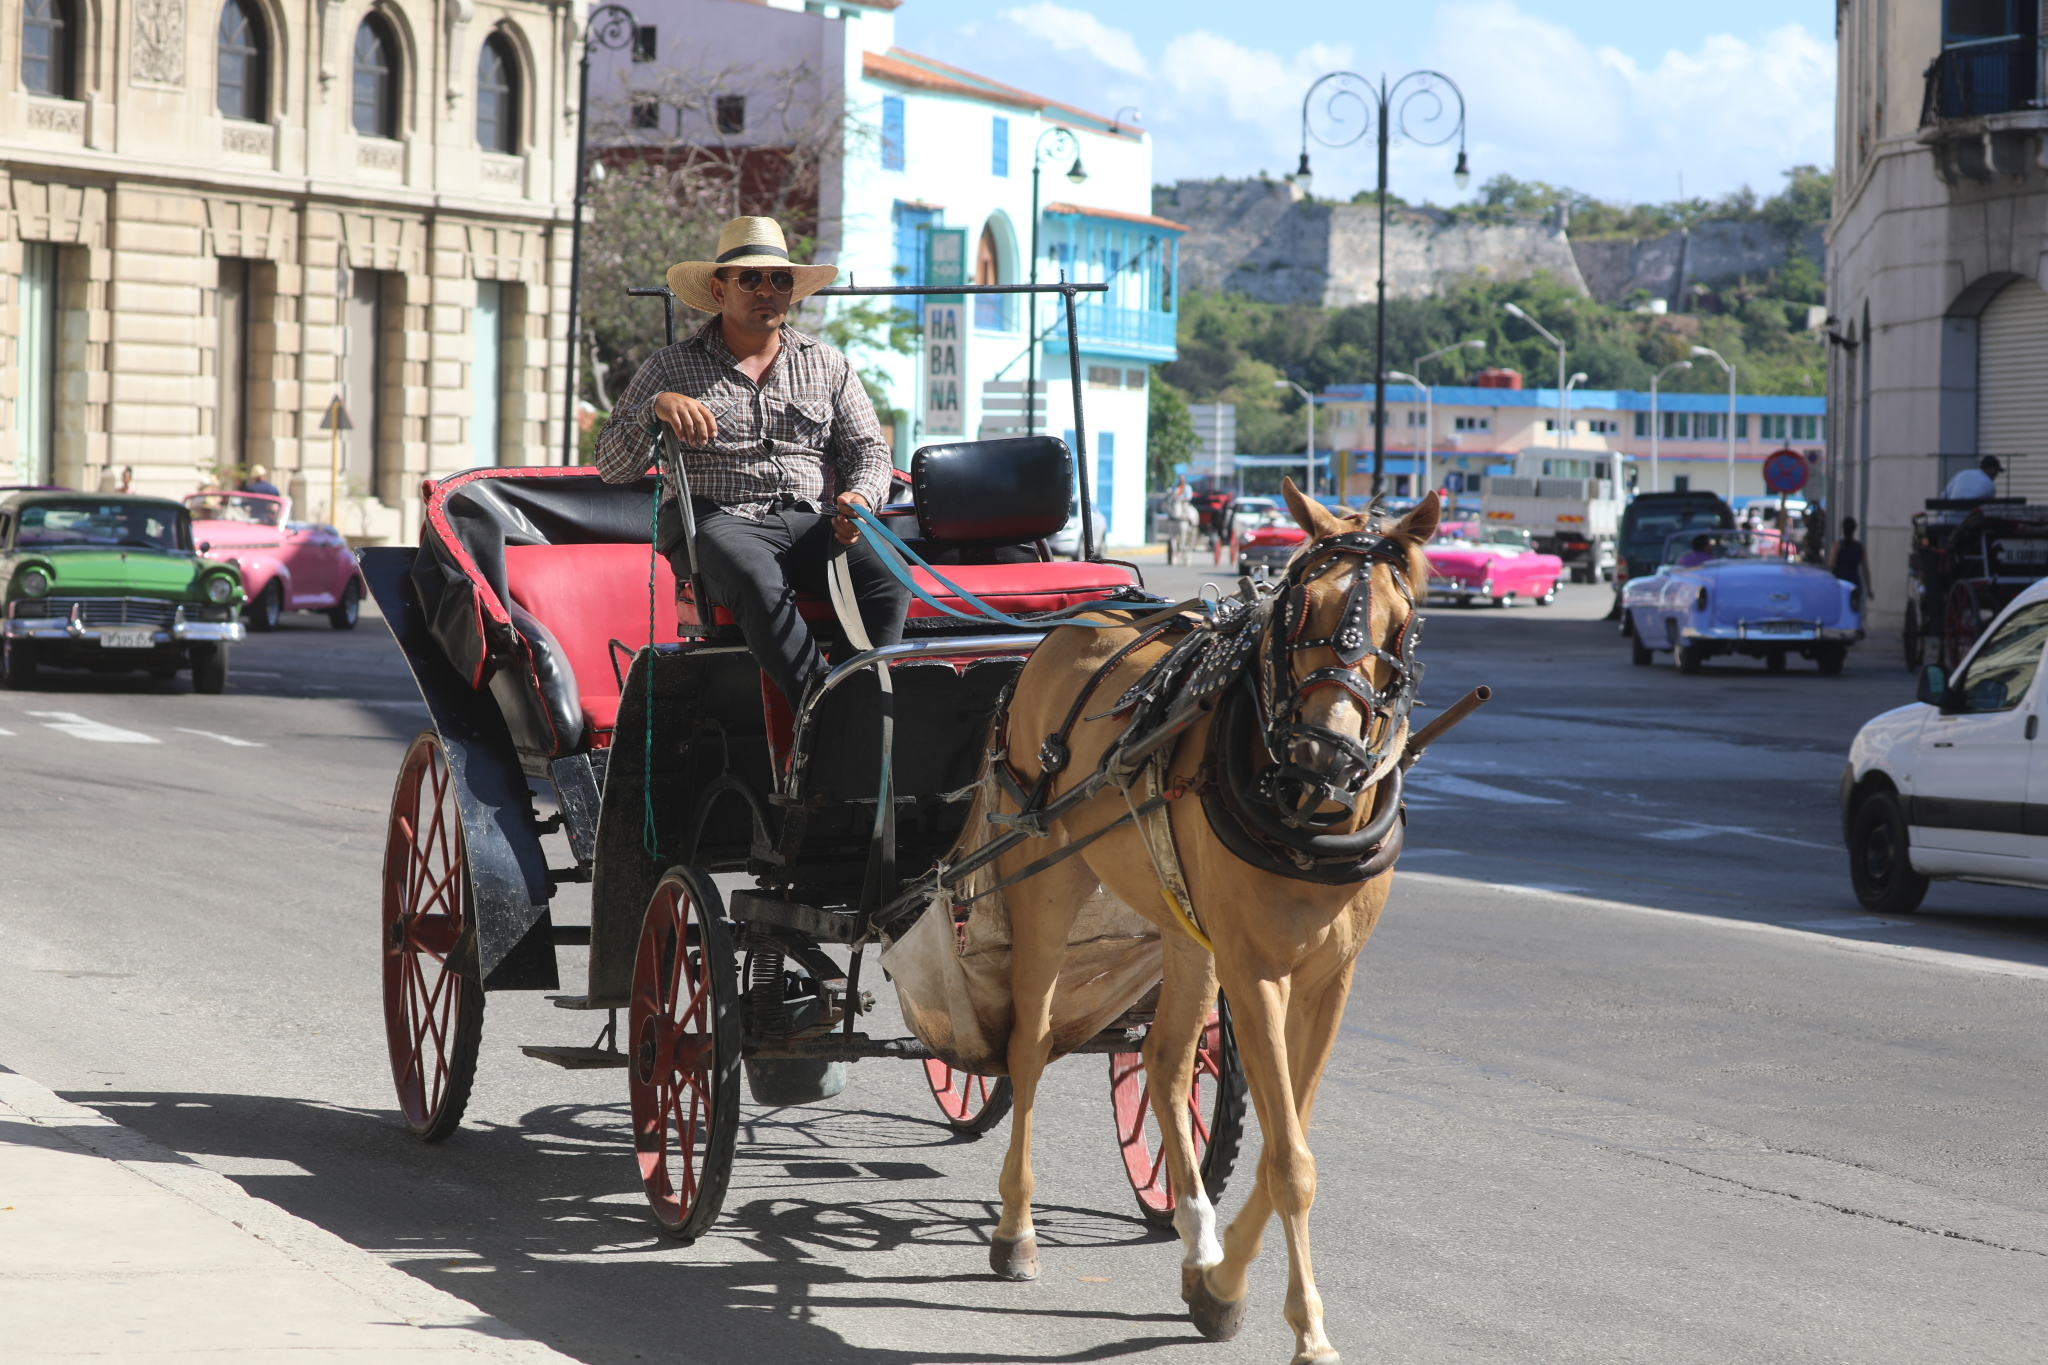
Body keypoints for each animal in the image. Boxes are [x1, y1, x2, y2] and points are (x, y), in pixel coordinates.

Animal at [966, 480, 1433, 1365]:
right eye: (1300, 605)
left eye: (1400, 621)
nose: (1325, 755)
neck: (1306, 818)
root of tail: (1076, 622)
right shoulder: (1254, 969)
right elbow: (1290, 1161)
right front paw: (1308, 1327)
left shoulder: (1330, 977)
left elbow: (1287, 1141)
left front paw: (1221, 1283)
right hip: (1046, 879)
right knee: (1029, 1046)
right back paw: (1016, 1228)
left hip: (1185, 928)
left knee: (1165, 1057)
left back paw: (1192, 1231)